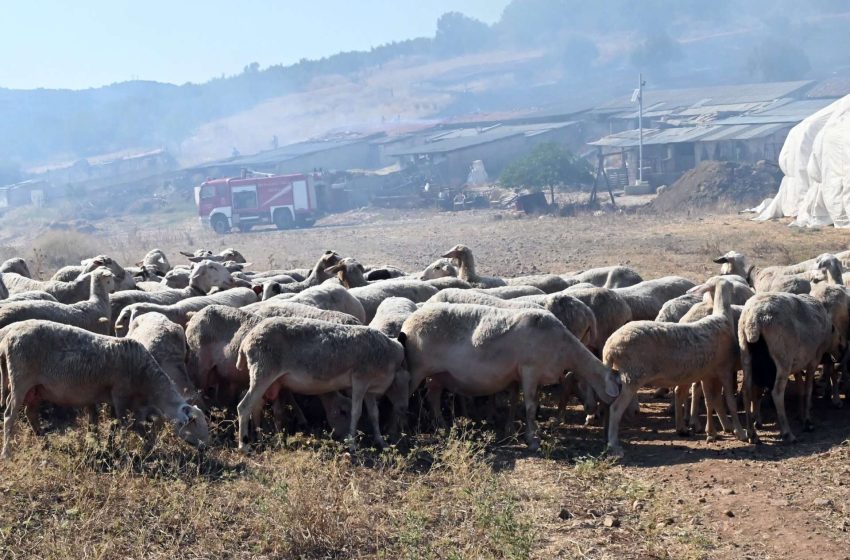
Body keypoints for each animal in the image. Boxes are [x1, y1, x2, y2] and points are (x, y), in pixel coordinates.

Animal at [0, 320, 209, 460]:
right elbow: (122, 424)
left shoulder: (125, 402)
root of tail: (8, 336)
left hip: (36, 389)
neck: (146, 379)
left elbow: (125, 425)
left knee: (31, 413)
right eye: (193, 422)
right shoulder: (119, 394)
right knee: (10, 415)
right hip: (20, 379)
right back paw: (7, 453)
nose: (207, 447)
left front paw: (138, 446)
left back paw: (44, 441)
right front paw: (122, 450)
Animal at [234, 318, 410, 452]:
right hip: (263, 371)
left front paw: (381, 442)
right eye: (407, 381)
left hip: (266, 377)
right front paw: (352, 444)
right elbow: (357, 412)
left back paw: (259, 437)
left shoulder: (369, 390)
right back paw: (244, 445)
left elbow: (374, 415)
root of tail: (246, 341)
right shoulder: (360, 380)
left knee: (256, 406)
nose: (403, 408)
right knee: (244, 406)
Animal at [400, 302, 620, 450]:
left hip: (438, 374)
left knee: (433, 397)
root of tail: (408, 322)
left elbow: (516, 401)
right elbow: (530, 406)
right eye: (584, 386)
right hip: (417, 369)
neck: (563, 348)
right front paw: (532, 440)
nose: (597, 414)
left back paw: (442, 426)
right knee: (406, 398)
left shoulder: (520, 375)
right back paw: (404, 432)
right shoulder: (530, 369)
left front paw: (514, 430)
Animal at [600, 278, 744, 458]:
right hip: (631, 376)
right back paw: (614, 445)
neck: (722, 317)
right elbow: (730, 401)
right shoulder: (725, 370)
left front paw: (710, 431)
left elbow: (710, 400)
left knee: (607, 404)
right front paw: (740, 431)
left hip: (618, 376)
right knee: (615, 409)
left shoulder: (707, 374)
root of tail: (609, 347)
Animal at [736, 282, 848, 444]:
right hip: (782, 360)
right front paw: (807, 421)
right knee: (777, 393)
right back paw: (787, 433)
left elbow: (801, 389)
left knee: (746, 391)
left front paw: (801, 415)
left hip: (746, 356)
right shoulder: (813, 360)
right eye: (839, 342)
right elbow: (808, 389)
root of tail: (754, 322)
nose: (842, 352)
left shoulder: (798, 364)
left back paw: (752, 434)